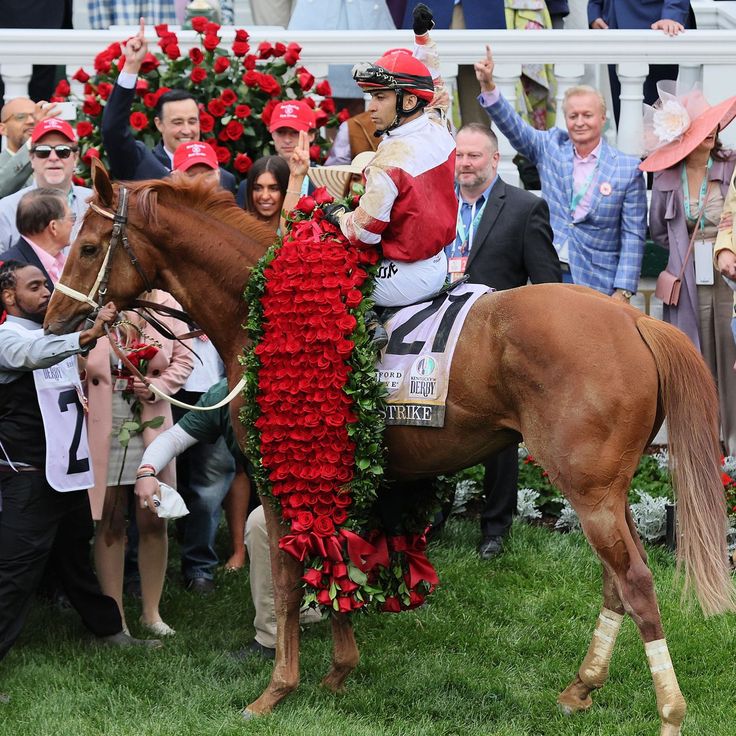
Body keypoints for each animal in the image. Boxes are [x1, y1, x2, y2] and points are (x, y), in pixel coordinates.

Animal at [43, 164, 732, 732]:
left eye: (86, 246)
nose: (55, 320)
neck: (259, 306)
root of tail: (634, 318)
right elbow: (337, 561)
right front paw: (338, 671)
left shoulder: (277, 474)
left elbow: (292, 577)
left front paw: (276, 690)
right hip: (607, 493)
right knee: (617, 584)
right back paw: (581, 688)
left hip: (588, 492)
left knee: (636, 583)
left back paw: (669, 712)